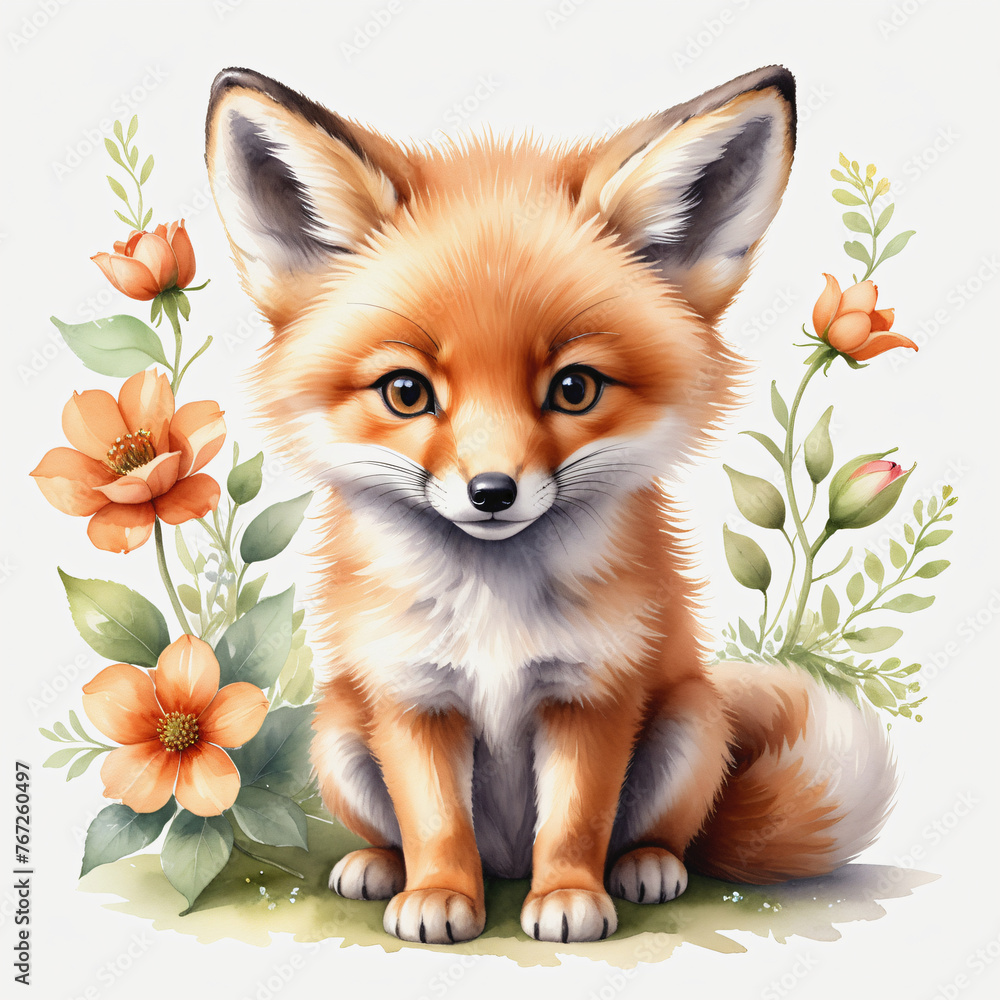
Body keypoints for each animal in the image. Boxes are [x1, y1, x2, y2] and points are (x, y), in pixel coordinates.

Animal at [205, 64, 896, 945]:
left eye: (574, 388)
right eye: (406, 392)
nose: (492, 492)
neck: (493, 608)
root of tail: (504, 863)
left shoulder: (592, 693)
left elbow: (575, 819)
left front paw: (568, 896)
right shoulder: (412, 697)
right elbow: (434, 821)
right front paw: (440, 895)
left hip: (690, 725)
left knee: (662, 831)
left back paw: (644, 867)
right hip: (338, 737)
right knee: (398, 829)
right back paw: (381, 867)